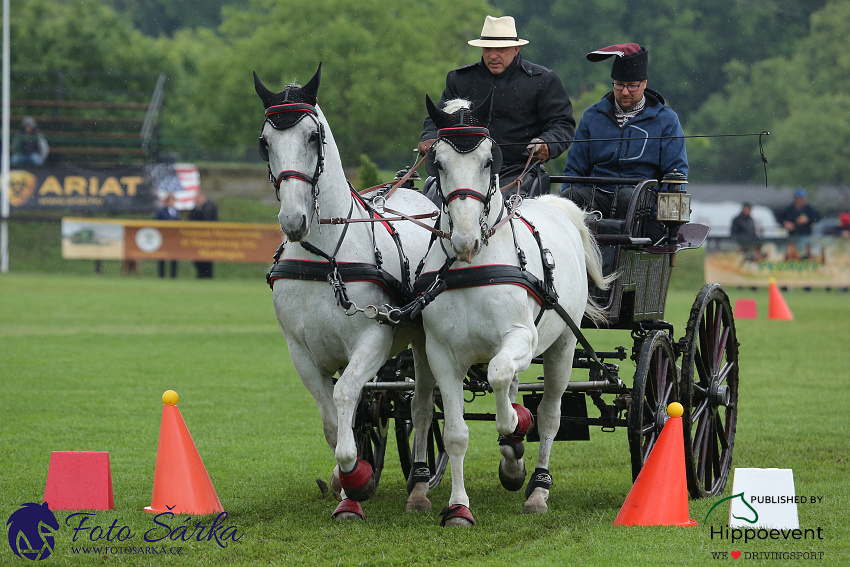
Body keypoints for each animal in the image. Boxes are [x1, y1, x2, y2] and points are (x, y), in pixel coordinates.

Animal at [253, 65, 438, 520]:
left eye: (312, 136)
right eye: (265, 142)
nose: (293, 220)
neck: (326, 258)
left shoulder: (372, 340)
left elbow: (345, 396)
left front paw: (354, 473)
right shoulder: (301, 352)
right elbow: (335, 419)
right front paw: (345, 486)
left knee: (423, 406)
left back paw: (421, 483)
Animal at [410, 97, 608, 528]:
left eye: (489, 160)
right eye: (438, 162)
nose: (466, 239)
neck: (474, 266)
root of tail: (550, 204)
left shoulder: (521, 337)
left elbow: (502, 381)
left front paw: (516, 423)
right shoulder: (441, 354)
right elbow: (455, 434)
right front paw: (458, 507)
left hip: (562, 346)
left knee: (549, 414)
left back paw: (538, 488)